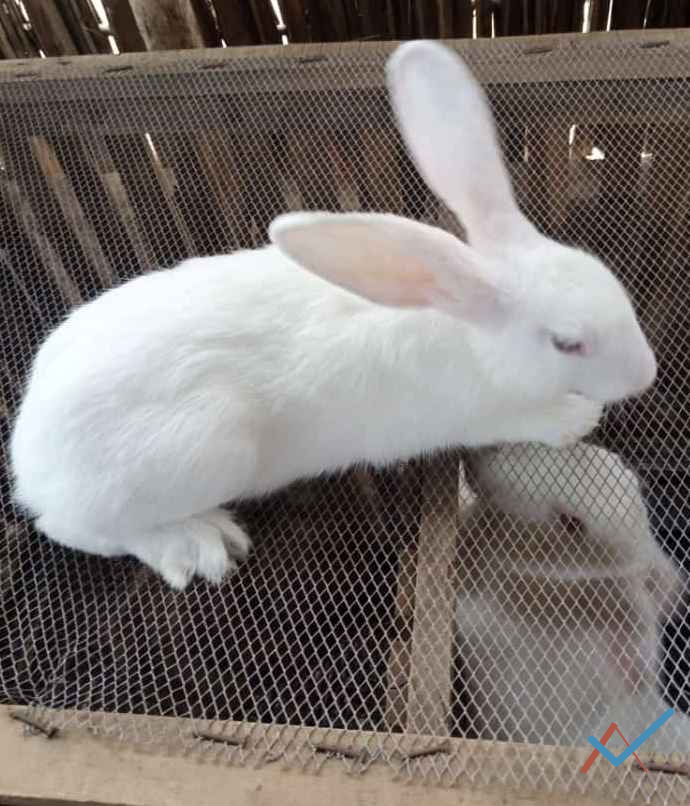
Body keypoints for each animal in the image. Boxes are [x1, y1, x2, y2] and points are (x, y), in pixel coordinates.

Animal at [9, 41, 656, 590]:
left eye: (612, 283)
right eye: (567, 343)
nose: (645, 375)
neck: (466, 332)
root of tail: (28, 462)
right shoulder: (468, 417)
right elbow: (523, 422)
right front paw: (577, 418)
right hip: (206, 451)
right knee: (75, 529)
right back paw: (197, 542)